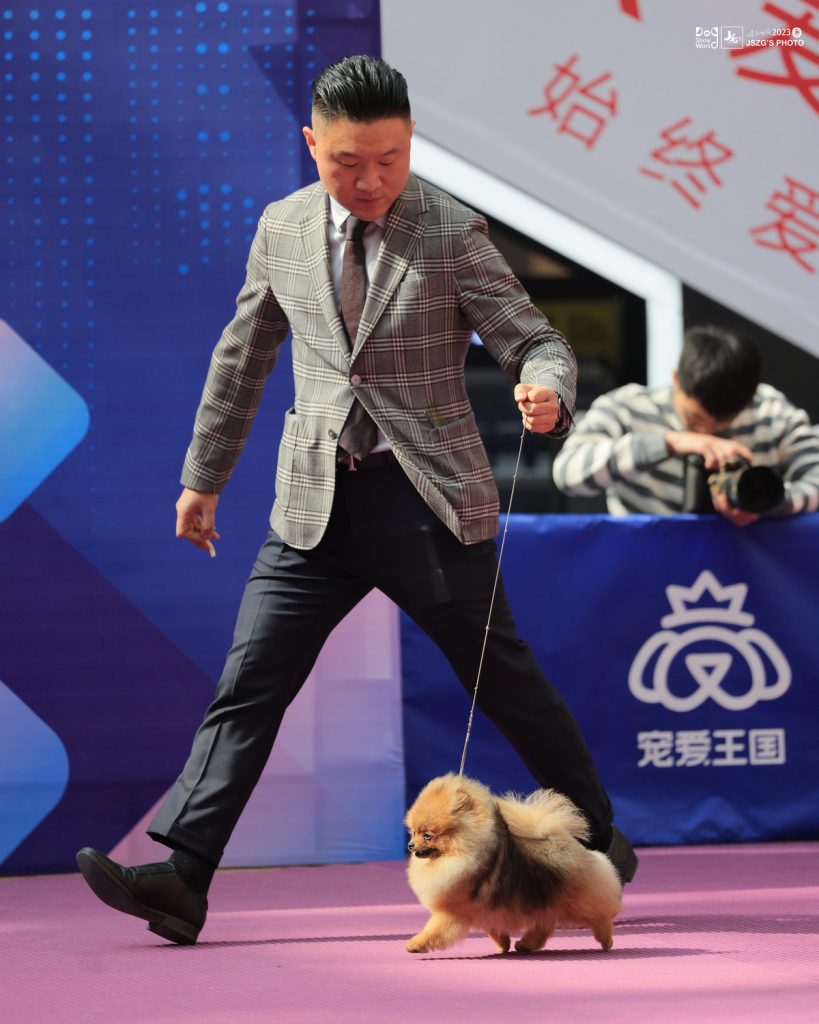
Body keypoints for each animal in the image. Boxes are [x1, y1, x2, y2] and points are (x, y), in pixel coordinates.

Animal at [404, 773, 622, 954]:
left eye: (428, 835)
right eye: (413, 832)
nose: (410, 845)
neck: (460, 854)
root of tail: (562, 839)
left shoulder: (453, 911)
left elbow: (433, 931)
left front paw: (415, 944)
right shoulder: (484, 910)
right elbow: (493, 929)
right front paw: (503, 944)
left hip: (578, 902)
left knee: (600, 916)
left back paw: (606, 941)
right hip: (544, 901)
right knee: (544, 925)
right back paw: (526, 944)